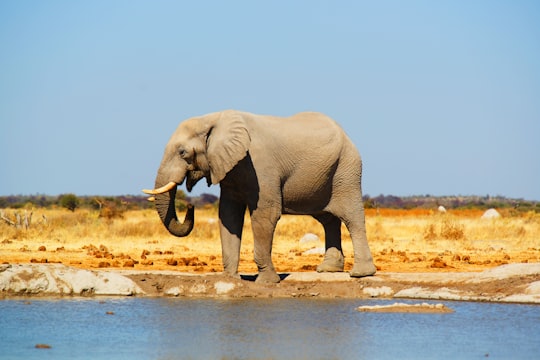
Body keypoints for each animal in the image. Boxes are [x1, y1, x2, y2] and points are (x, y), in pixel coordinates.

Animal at [146, 109, 378, 284]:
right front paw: (230, 279)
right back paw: (328, 270)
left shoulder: (260, 166)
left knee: (352, 217)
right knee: (328, 220)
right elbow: (228, 215)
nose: (190, 205)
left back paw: (361, 274)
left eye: (182, 153)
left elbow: (265, 215)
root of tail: (346, 134)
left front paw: (266, 281)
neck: (213, 119)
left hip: (346, 170)